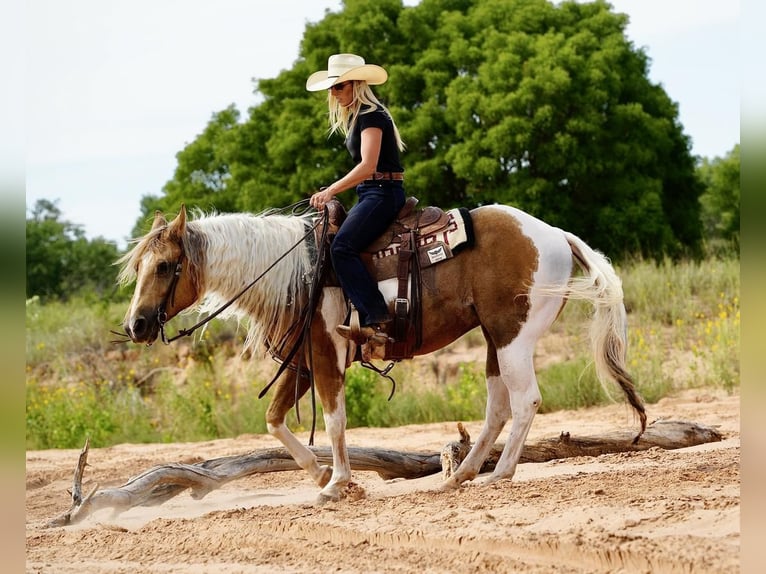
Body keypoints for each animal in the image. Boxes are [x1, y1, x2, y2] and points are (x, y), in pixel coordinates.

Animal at [118, 202, 648, 504]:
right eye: (140, 266)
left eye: (164, 266)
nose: (136, 325)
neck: (298, 272)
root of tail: (556, 235)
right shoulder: (302, 362)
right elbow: (273, 421)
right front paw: (321, 475)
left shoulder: (326, 352)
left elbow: (334, 419)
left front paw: (337, 483)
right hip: (495, 340)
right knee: (498, 406)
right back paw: (462, 475)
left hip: (513, 335)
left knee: (525, 401)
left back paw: (499, 473)